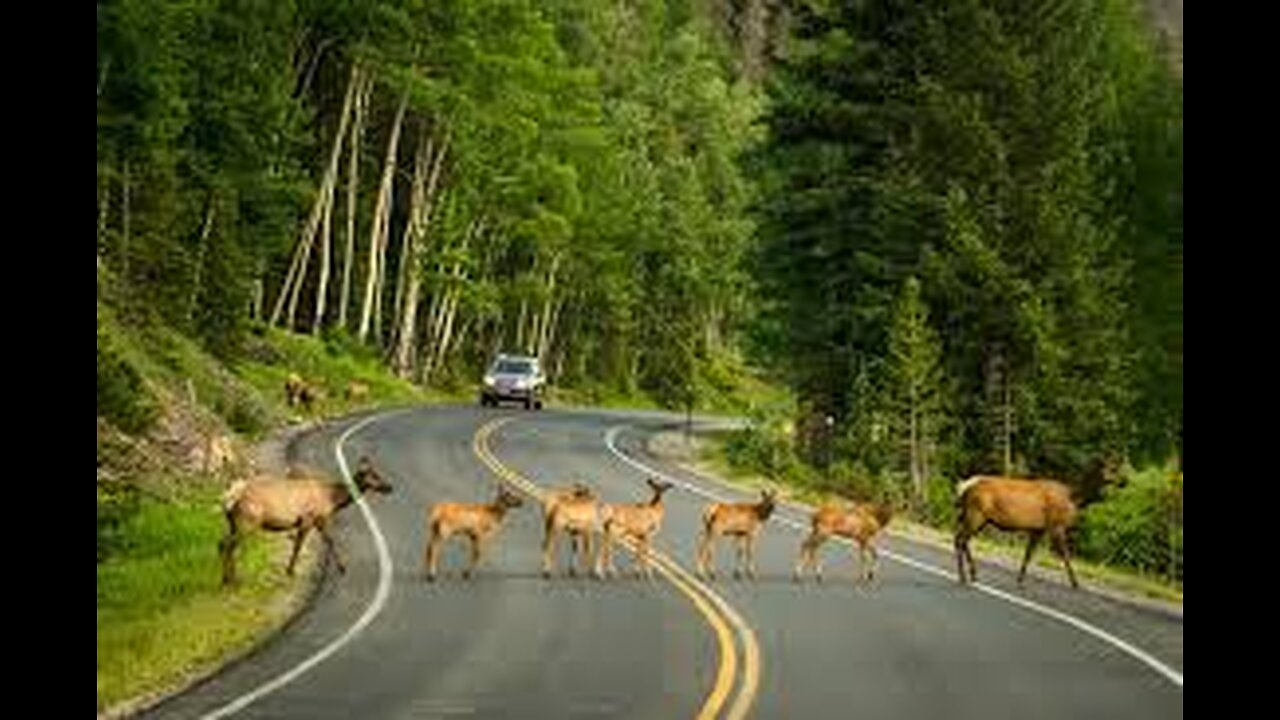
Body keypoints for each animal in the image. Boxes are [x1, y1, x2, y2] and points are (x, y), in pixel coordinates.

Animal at [220, 453, 391, 584]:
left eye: (378, 473)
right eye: (373, 476)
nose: (390, 487)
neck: (332, 499)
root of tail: (229, 501)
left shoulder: (319, 520)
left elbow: (330, 540)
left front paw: (342, 568)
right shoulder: (308, 518)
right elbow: (299, 545)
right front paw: (290, 571)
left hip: (233, 523)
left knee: (223, 543)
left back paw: (227, 579)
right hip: (248, 522)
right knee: (229, 545)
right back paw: (232, 579)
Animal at [952, 474, 1080, 586]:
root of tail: (964, 488)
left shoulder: (1038, 529)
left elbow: (1028, 554)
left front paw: (1020, 579)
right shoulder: (1056, 526)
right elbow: (1065, 554)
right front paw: (1075, 583)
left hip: (978, 519)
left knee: (959, 539)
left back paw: (971, 574)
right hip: (976, 515)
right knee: (961, 540)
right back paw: (965, 576)